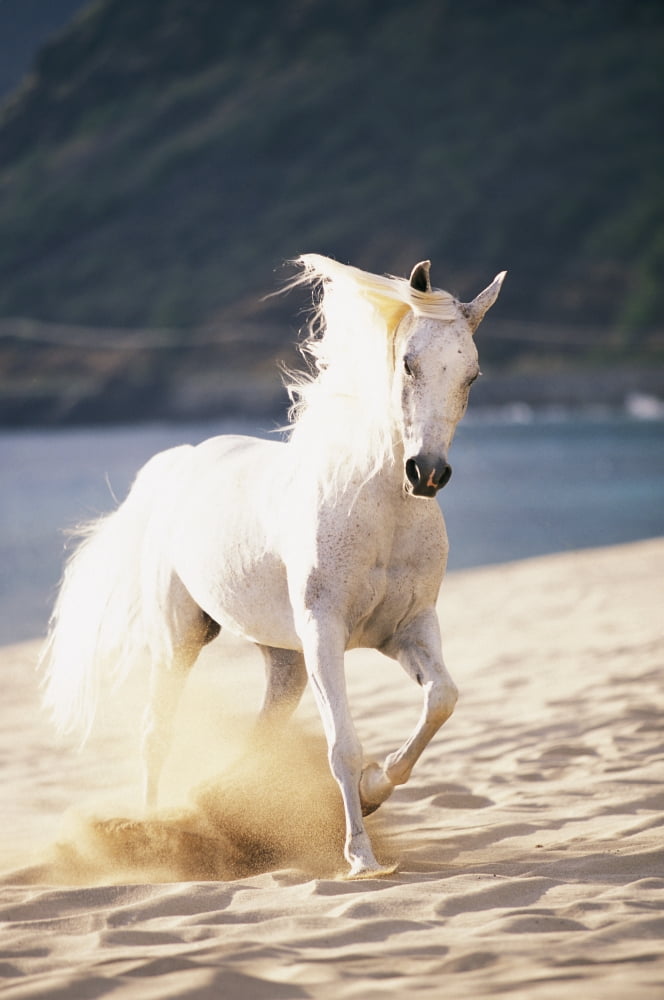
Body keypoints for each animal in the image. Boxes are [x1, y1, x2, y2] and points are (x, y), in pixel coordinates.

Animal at [41, 254, 505, 879]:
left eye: (471, 375)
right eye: (408, 363)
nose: (426, 473)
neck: (378, 512)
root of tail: (178, 464)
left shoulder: (408, 630)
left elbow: (442, 700)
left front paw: (374, 790)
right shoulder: (325, 632)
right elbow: (342, 744)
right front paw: (361, 857)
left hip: (284, 659)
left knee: (262, 733)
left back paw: (219, 807)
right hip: (180, 639)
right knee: (156, 732)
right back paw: (154, 832)